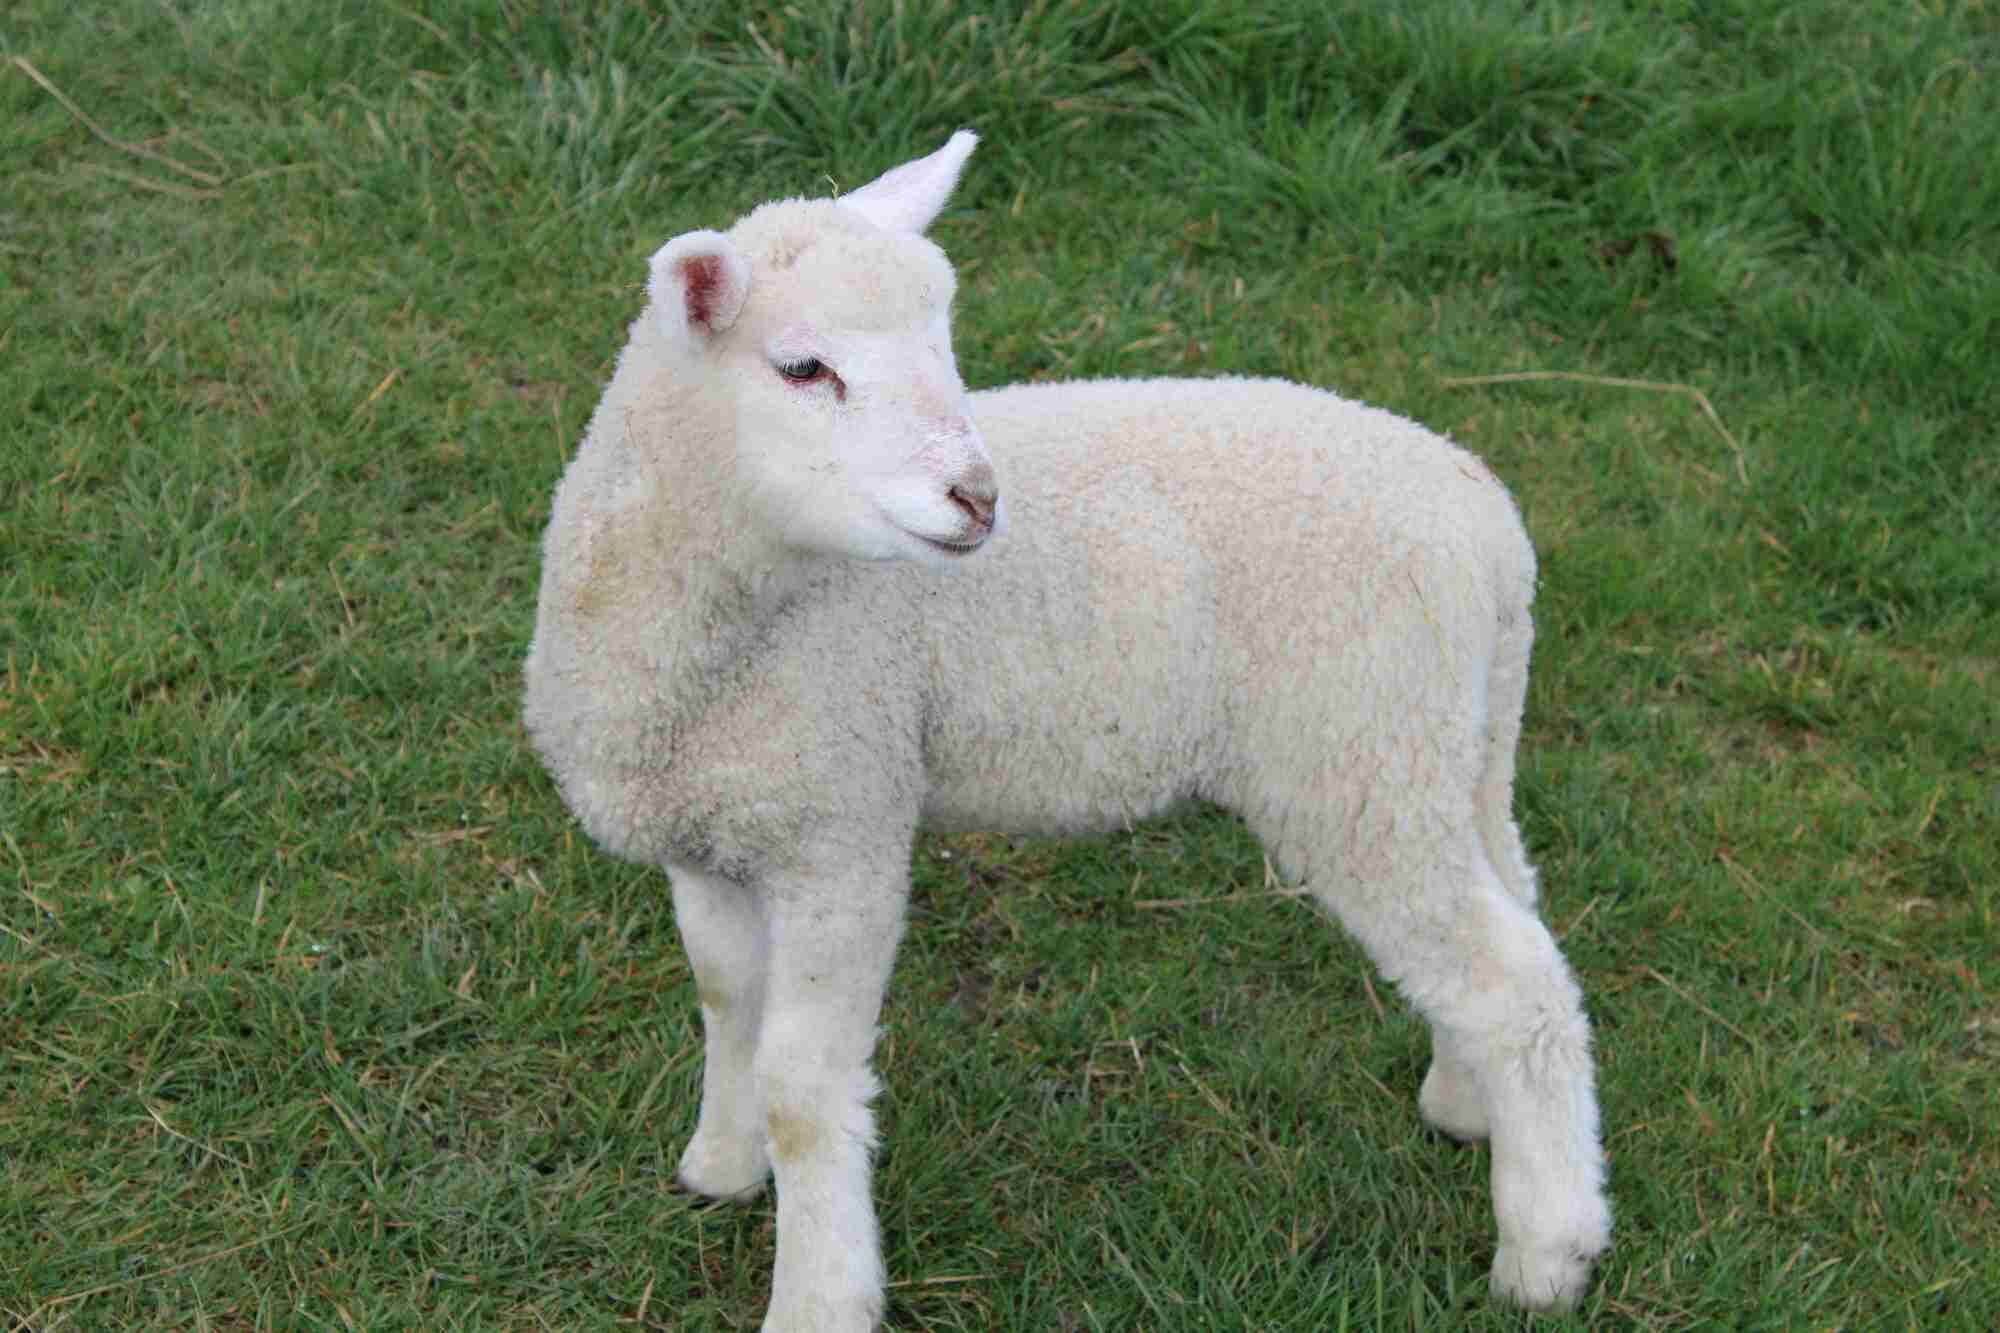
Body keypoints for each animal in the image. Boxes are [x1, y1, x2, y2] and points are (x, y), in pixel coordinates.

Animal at [522, 130, 1611, 1330]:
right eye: (802, 368)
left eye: (944, 345)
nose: (979, 497)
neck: (716, 630)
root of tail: (1491, 527)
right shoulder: (713, 832)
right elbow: (727, 1006)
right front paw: (719, 1165)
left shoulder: (843, 828)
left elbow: (804, 1086)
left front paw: (817, 1295)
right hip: (1448, 745)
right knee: (1506, 916)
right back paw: (1470, 1108)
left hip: (1359, 755)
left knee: (1513, 982)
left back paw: (1546, 1253)